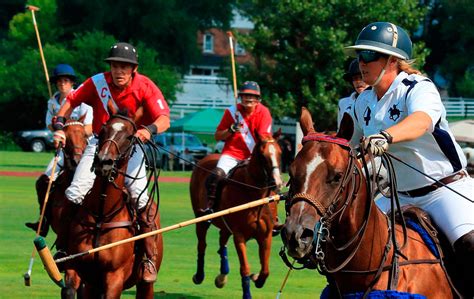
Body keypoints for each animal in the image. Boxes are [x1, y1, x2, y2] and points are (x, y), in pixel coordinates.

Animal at [61, 113, 163, 298]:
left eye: (130, 136)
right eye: (102, 130)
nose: (103, 161)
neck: (102, 215)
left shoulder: (114, 276)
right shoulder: (77, 268)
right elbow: (69, 290)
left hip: (145, 284)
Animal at [190, 133, 286, 299]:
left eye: (280, 153)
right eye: (262, 155)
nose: (277, 182)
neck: (256, 195)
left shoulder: (265, 234)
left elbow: (265, 270)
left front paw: (257, 278)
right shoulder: (239, 235)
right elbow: (245, 268)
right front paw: (247, 293)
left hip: (225, 225)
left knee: (222, 241)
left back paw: (222, 276)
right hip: (201, 218)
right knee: (202, 244)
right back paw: (199, 276)